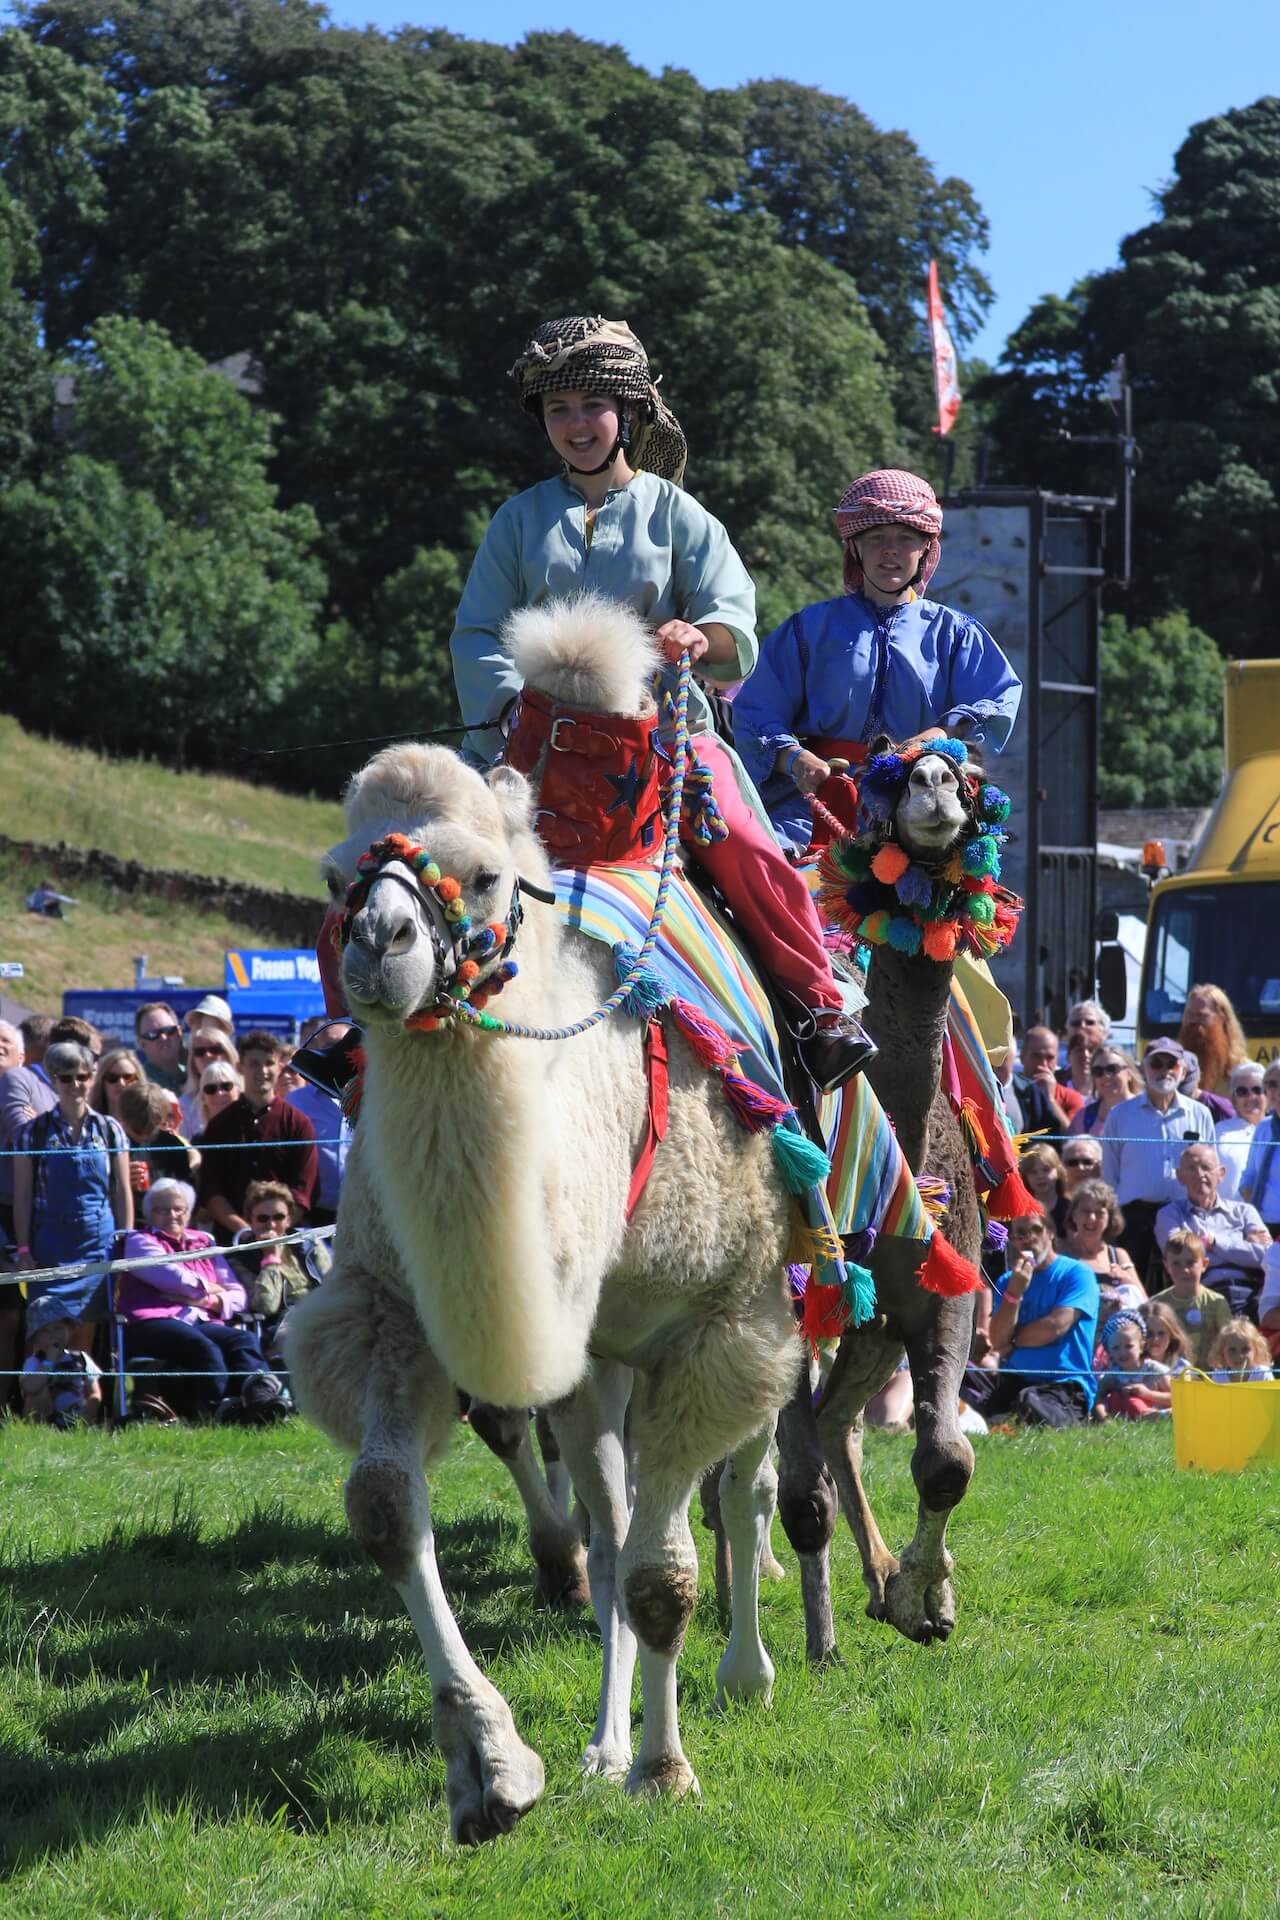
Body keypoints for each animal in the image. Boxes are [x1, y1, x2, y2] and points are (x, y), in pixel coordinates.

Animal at [287, 596, 807, 1842]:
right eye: (335, 878)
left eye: (480, 877)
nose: (380, 945)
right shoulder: (392, 1308)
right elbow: (386, 1507)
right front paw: (491, 1764)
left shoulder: (716, 1327)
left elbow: (670, 1568)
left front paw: (667, 1770)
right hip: (596, 1361)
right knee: (615, 1529)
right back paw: (602, 1741)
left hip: (777, 1298)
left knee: (744, 1489)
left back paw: (745, 1672)